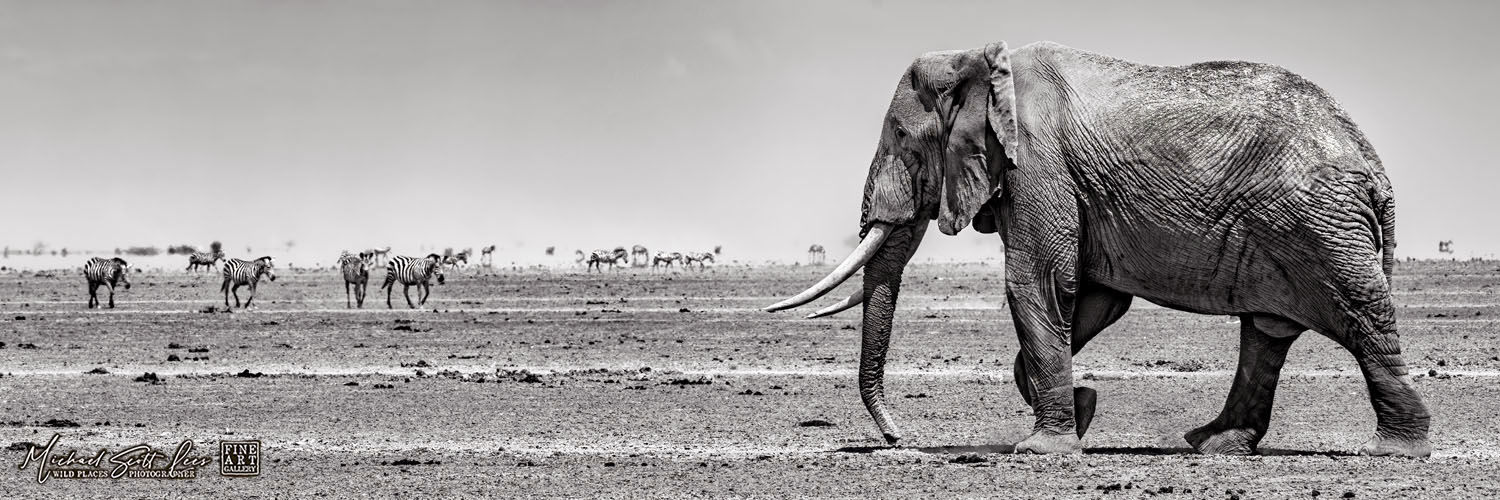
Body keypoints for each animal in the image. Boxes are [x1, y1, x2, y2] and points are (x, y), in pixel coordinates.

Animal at [765, 41, 1429, 457]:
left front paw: (1041, 448)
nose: (899, 438)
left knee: (1359, 314)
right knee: (1266, 333)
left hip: (1321, 223)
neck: (979, 61)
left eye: (902, 138)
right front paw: (1081, 411)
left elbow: (1036, 284)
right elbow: (1092, 299)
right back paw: (1211, 444)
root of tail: (1375, 167)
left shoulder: (1039, 164)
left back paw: (1394, 451)